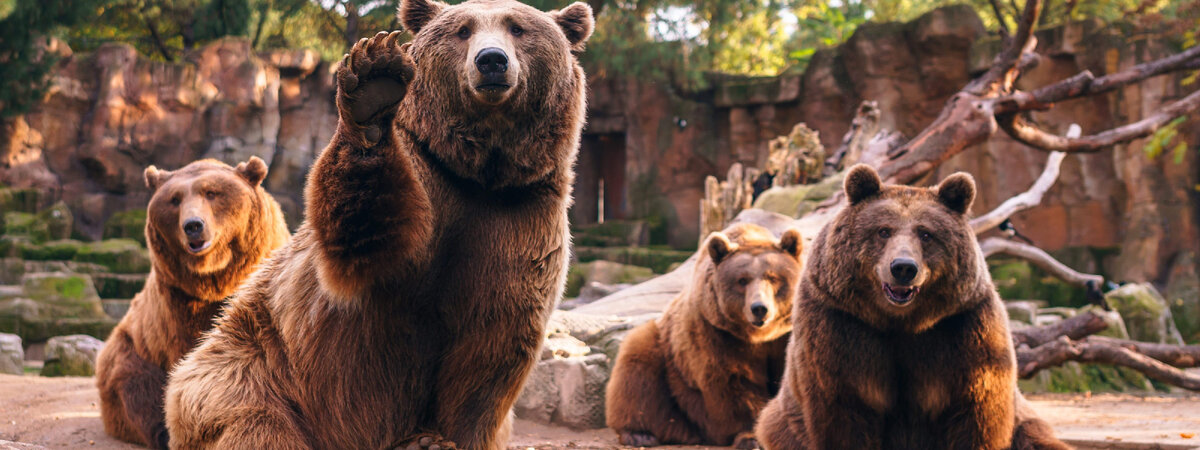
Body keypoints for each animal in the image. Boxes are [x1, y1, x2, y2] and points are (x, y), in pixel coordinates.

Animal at [95, 157, 290, 449]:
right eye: (174, 199)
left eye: (212, 192)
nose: (193, 225)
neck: (216, 279)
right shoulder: (178, 302)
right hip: (133, 349)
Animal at [162, 1, 594, 448]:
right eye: (462, 30)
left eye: (518, 27)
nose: (491, 60)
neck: (479, 175)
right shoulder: (424, 185)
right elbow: (362, 237)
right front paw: (375, 82)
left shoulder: (518, 221)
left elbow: (489, 347)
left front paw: (437, 437)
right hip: (250, 366)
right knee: (256, 423)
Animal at [606, 223, 802, 448]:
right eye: (742, 280)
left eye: (773, 277)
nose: (759, 308)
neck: (758, 337)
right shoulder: (716, 333)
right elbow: (733, 383)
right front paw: (751, 437)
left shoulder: (785, 336)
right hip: (666, 358)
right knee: (637, 371)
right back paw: (639, 433)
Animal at [754, 164, 1069, 450]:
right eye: (883, 231)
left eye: (926, 234)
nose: (903, 267)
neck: (902, 321)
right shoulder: (840, 324)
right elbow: (844, 409)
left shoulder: (963, 328)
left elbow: (976, 411)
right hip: (783, 423)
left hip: (1026, 421)